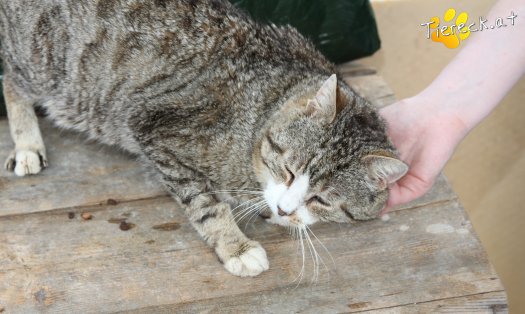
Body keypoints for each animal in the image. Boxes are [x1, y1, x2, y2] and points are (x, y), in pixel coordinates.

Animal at [0, 0, 408, 274]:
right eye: (289, 170)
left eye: (321, 199)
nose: (284, 209)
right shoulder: (156, 131)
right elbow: (205, 202)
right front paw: (235, 246)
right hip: (39, 60)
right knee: (11, 79)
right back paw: (27, 142)